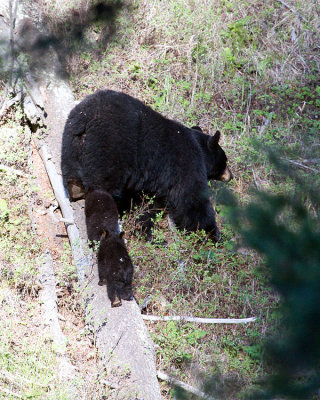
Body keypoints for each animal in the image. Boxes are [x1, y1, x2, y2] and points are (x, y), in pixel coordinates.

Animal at [62, 90, 232, 241]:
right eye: (225, 161)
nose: (231, 176)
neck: (198, 146)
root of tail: (85, 119)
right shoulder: (186, 163)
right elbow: (191, 199)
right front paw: (212, 234)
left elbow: (145, 205)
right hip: (110, 148)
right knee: (101, 193)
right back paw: (99, 235)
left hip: (70, 144)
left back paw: (75, 189)